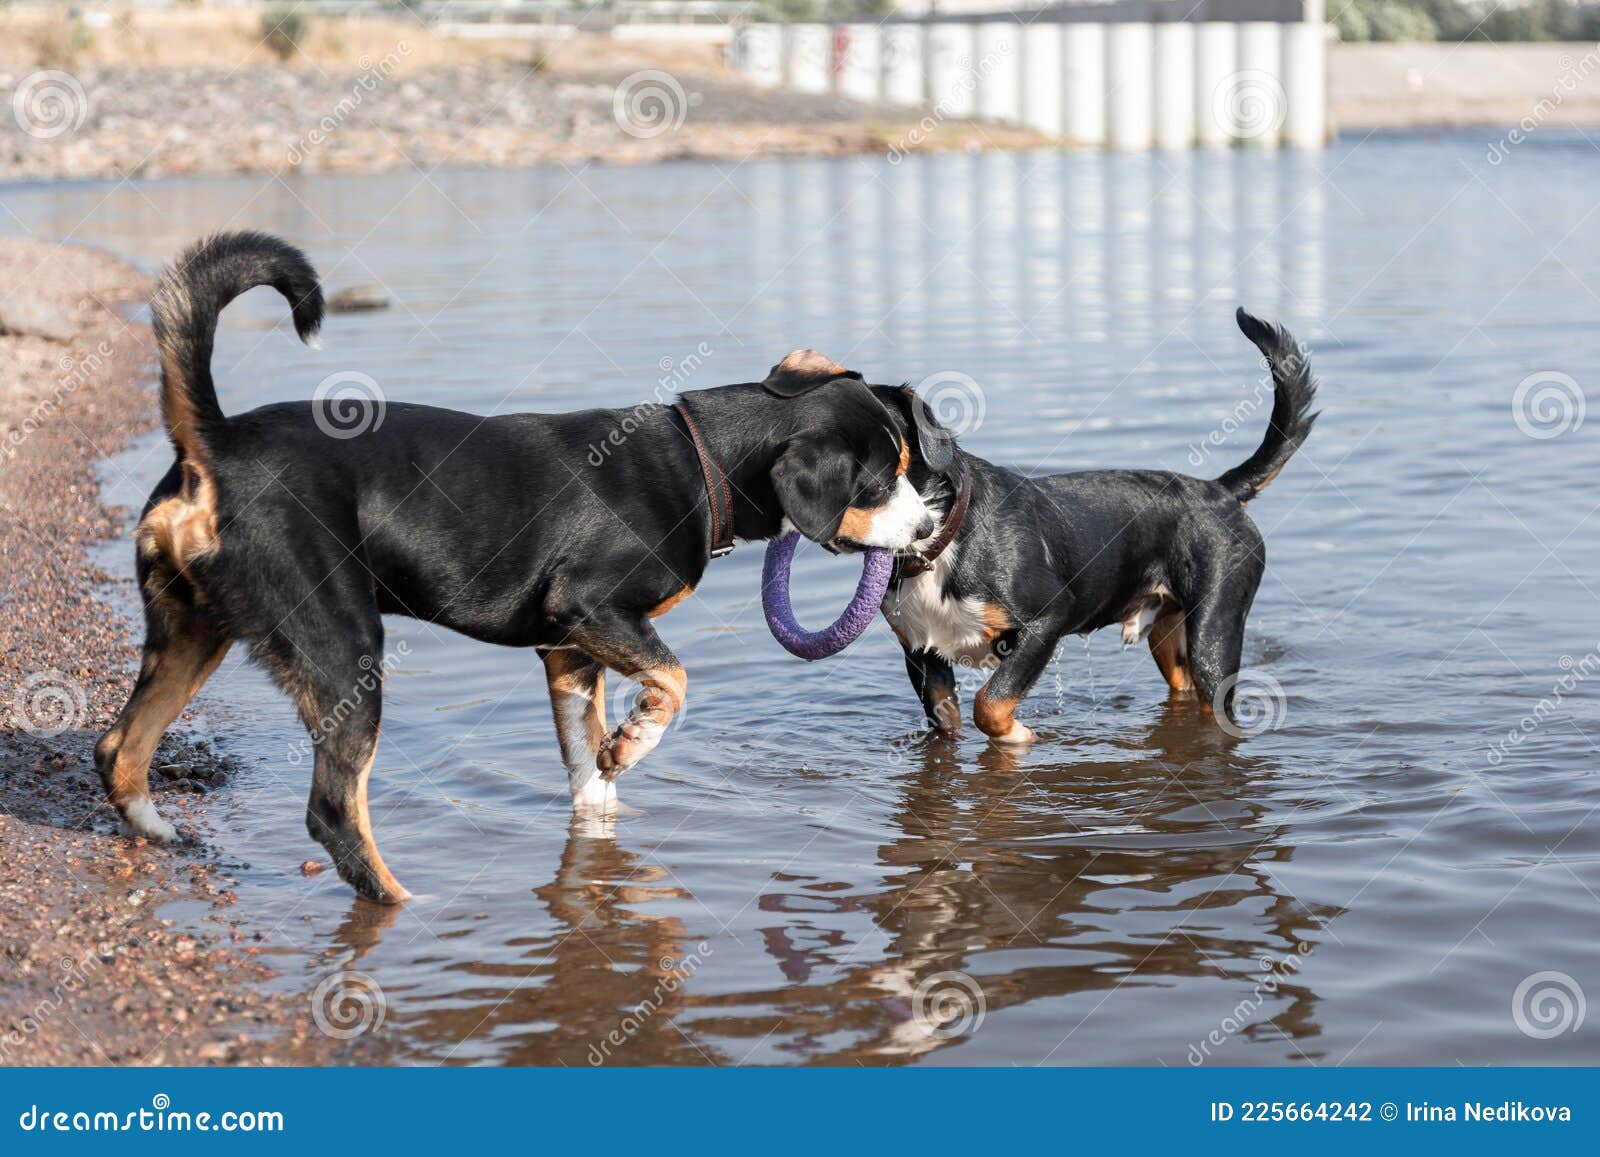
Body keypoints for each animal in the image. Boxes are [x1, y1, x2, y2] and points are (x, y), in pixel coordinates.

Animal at [96, 233, 947, 902]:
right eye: (881, 481)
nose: (929, 525)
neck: (699, 461)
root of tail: (215, 444)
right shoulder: (591, 610)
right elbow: (674, 682)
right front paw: (635, 739)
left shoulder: (569, 653)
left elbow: (589, 779)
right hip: (342, 651)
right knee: (332, 808)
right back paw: (401, 901)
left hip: (190, 632)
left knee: (120, 749)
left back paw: (159, 833)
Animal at [883, 310, 1318, 742]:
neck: (938, 538)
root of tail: (1219, 489)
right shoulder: (923, 657)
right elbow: (950, 722)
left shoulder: (1048, 619)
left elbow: (990, 703)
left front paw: (1018, 738)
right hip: (1168, 636)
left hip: (1214, 634)